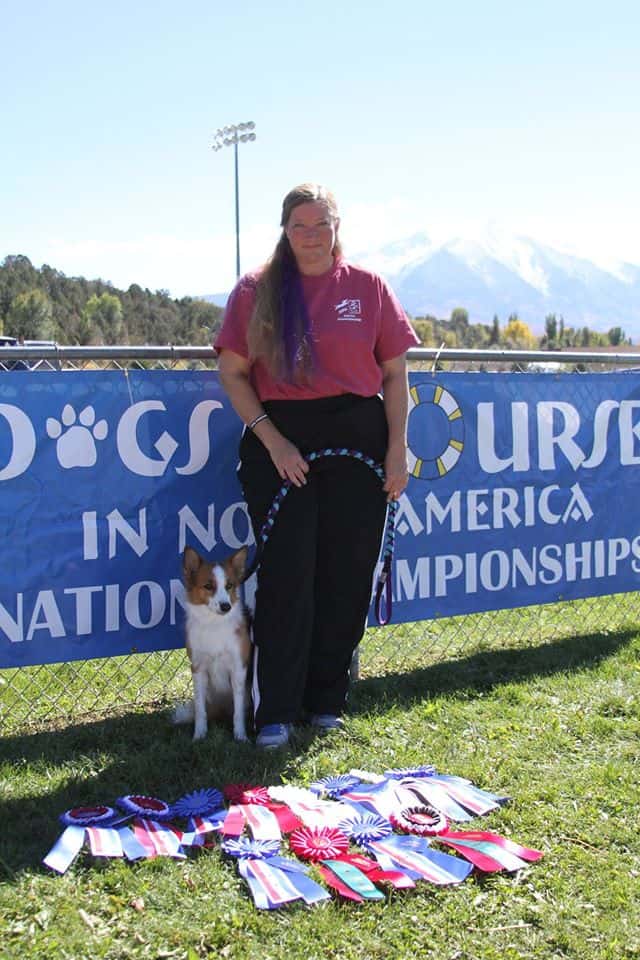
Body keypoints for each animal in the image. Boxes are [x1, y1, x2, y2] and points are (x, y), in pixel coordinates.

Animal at [176, 548, 254, 744]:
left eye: (229, 585)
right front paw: (199, 734)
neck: (214, 624)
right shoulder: (198, 668)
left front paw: (240, 735)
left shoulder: (238, 668)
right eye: (208, 586)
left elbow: (238, 711)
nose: (226, 606)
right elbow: (200, 710)